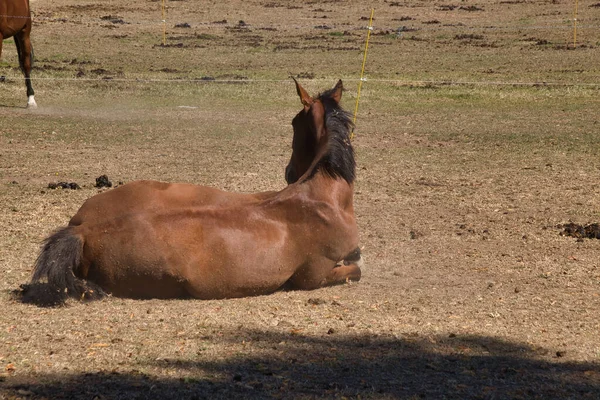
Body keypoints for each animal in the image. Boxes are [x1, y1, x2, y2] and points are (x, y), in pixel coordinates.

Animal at [25, 79, 364, 302]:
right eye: (294, 123)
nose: (290, 173)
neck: (321, 197)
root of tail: (84, 231)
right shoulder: (314, 276)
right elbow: (356, 269)